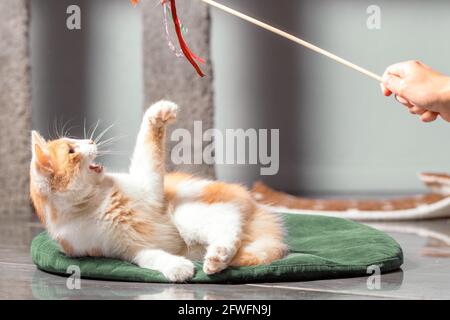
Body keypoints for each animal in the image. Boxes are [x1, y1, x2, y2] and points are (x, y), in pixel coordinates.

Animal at [29, 101, 288, 282]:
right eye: (71, 150)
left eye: (74, 141)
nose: (91, 140)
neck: (96, 201)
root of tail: (255, 207)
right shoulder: (121, 250)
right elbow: (150, 257)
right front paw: (177, 267)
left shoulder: (149, 189)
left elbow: (147, 148)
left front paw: (157, 113)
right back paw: (215, 259)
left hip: (188, 213)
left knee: (231, 229)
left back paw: (218, 255)